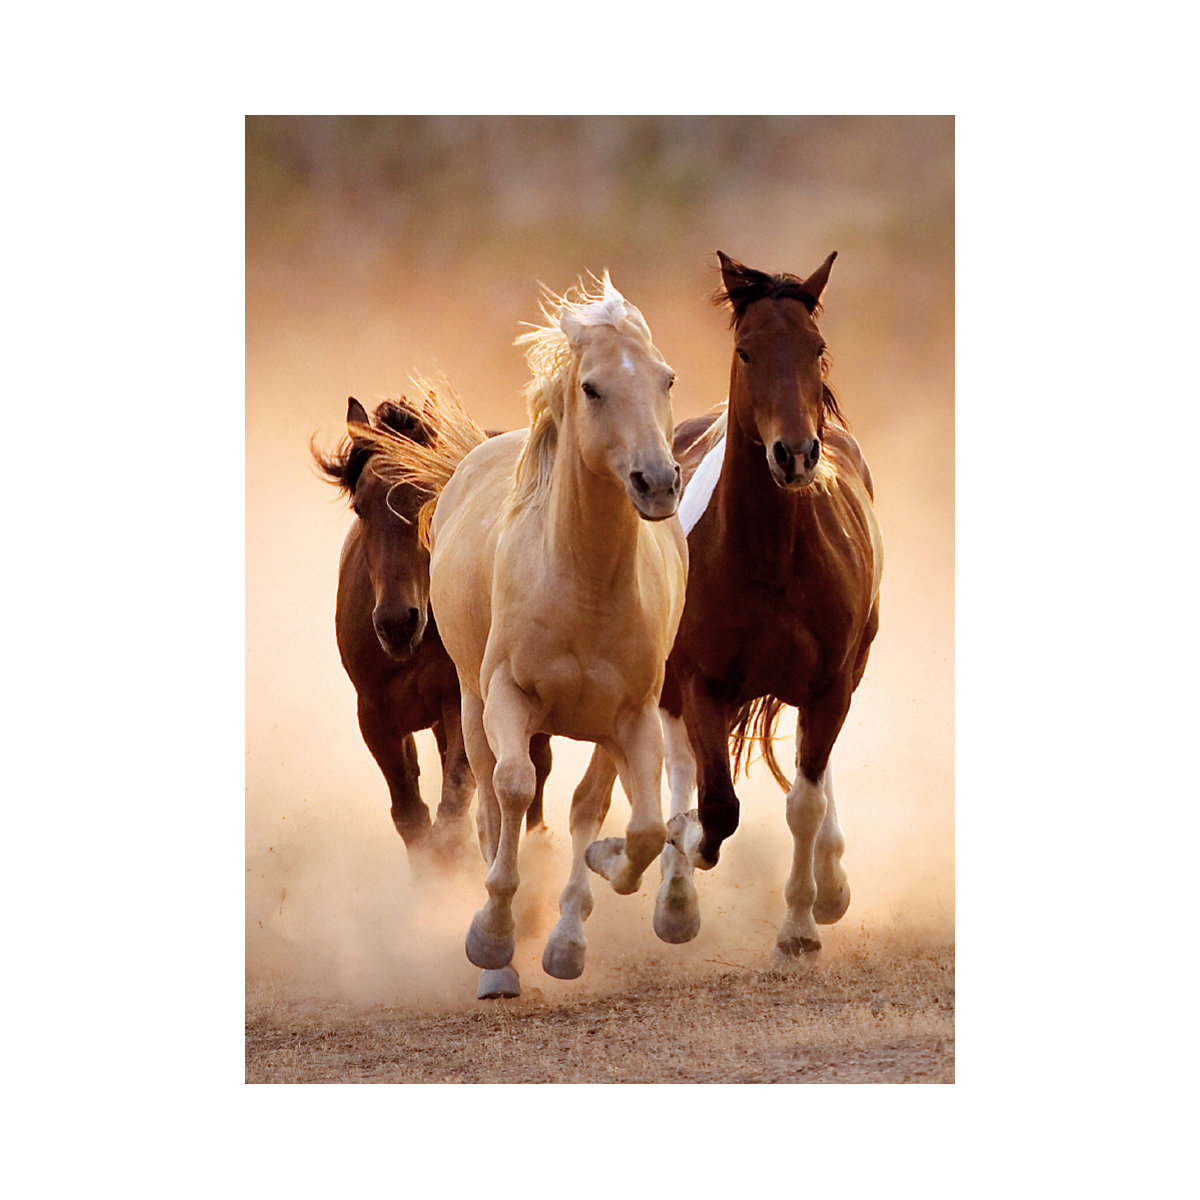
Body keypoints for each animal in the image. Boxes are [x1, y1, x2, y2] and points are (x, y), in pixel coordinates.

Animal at [312, 389, 552, 872]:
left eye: (431, 497)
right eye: (360, 507)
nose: (395, 622)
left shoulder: (461, 703)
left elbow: (453, 808)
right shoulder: (375, 717)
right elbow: (411, 816)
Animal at [389, 275, 686, 998]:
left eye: (666, 378)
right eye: (593, 388)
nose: (657, 483)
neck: (583, 582)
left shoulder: (632, 718)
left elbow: (636, 827)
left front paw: (595, 887)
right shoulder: (507, 697)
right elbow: (514, 792)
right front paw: (491, 937)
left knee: (585, 806)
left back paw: (564, 938)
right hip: (470, 707)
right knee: (493, 806)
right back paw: (500, 962)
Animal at [648, 251, 883, 956]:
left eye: (817, 347)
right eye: (746, 351)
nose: (797, 454)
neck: (770, 558)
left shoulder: (831, 683)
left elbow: (803, 801)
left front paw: (802, 924)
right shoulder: (700, 682)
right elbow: (716, 805)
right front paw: (685, 855)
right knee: (679, 766)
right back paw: (674, 895)